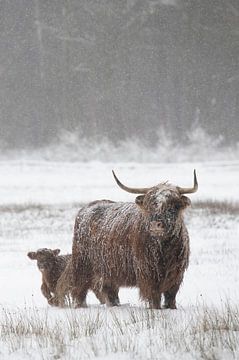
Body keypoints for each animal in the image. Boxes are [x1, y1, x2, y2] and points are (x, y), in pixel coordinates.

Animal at [71, 170, 198, 308]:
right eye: (149, 205)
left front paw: (171, 308)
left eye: (173, 205)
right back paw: (81, 306)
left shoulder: (176, 275)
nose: (155, 224)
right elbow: (154, 297)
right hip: (82, 264)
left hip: (108, 271)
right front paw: (155, 308)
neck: (163, 249)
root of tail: (86, 208)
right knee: (80, 289)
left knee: (109, 290)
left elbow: (170, 296)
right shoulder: (147, 274)